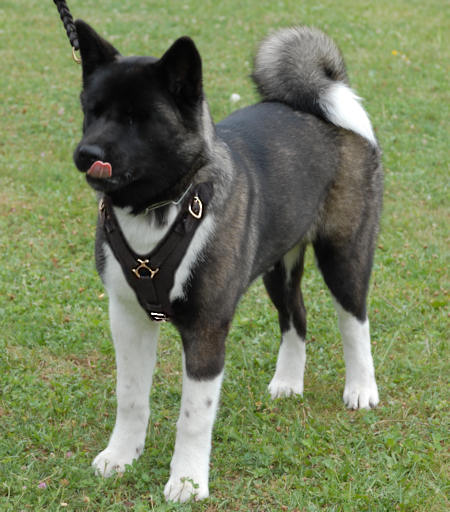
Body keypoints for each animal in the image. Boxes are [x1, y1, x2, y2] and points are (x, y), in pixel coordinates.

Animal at [72, 22, 382, 502]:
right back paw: (288, 382)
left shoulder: (206, 327)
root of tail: (318, 99)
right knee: (296, 315)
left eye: (137, 118)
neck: (161, 207)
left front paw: (186, 482)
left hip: (344, 252)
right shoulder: (127, 318)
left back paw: (362, 389)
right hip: (278, 263)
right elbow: (130, 395)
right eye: (93, 110)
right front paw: (121, 456)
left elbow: (194, 416)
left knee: (354, 321)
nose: (86, 154)